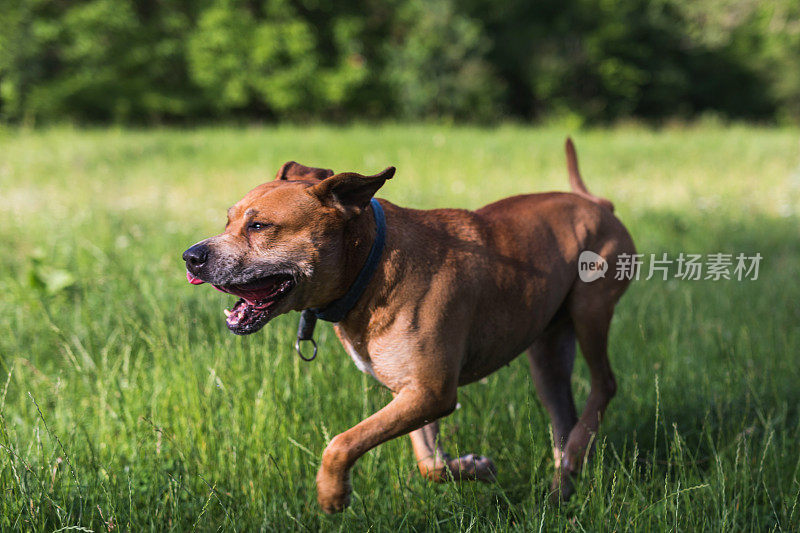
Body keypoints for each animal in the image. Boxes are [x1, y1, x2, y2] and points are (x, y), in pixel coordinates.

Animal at [183, 140, 636, 512]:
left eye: (259, 226)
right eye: (228, 221)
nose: (191, 256)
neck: (370, 265)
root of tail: (598, 203)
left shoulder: (431, 391)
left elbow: (342, 443)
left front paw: (332, 494)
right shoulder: (411, 391)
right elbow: (429, 463)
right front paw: (474, 467)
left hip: (591, 308)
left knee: (605, 384)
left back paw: (574, 455)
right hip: (547, 352)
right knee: (563, 413)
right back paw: (564, 479)